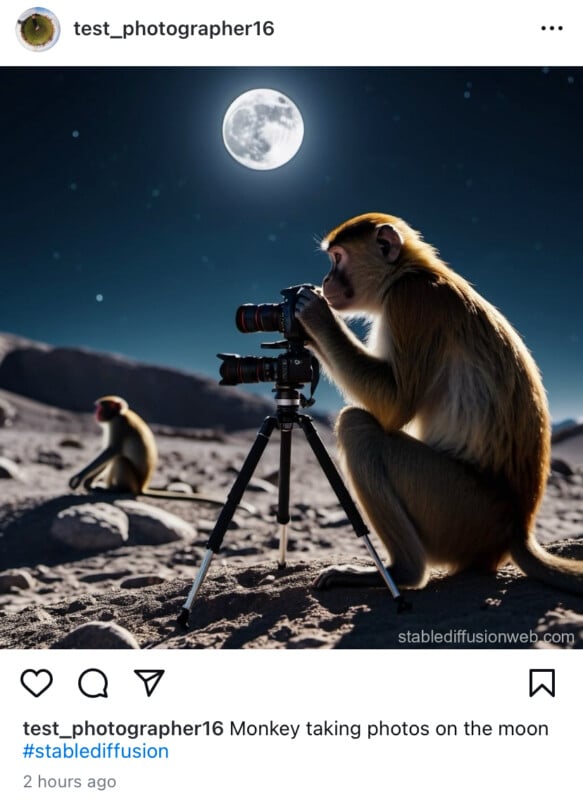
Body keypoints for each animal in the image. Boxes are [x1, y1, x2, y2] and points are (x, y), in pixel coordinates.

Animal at [68, 396, 253, 512]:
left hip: (132, 480)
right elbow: (109, 454)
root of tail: (142, 487)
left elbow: (112, 451)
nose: (96, 413)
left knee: (120, 459)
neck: (121, 414)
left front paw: (80, 477)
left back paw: (116, 489)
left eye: (101, 407)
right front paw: (88, 481)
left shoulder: (118, 424)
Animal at [294, 212, 583, 592]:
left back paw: (403, 573)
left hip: (461, 512)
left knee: (358, 427)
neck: (408, 272)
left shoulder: (411, 302)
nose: (326, 279)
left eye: (338, 258)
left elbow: (394, 408)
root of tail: (517, 530)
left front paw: (313, 314)